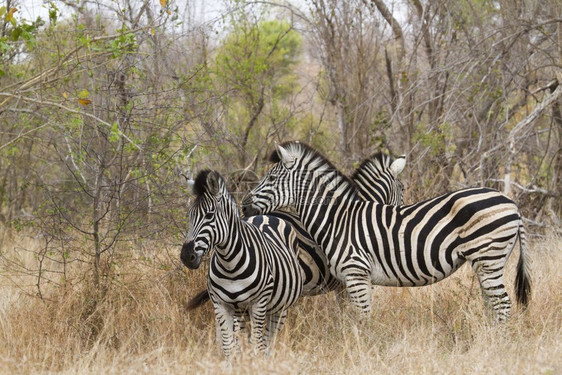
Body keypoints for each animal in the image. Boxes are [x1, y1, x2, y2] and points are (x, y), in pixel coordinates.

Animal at [179, 170, 302, 358]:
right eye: (189, 216)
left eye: (209, 215)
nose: (186, 256)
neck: (230, 265)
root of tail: (264, 214)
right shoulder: (221, 304)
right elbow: (229, 346)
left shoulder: (258, 303)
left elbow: (258, 345)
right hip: (241, 312)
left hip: (279, 308)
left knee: (268, 341)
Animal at [242, 142, 528, 324]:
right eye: (402, 189)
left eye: (269, 179)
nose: (244, 205)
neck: (338, 219)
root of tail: (511, 203)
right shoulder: (352, 279)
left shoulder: (356, 274)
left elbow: (362, 319)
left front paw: (365, 348)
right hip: (486, 261)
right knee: (494, 304)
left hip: (488, 258)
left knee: (502, 304)